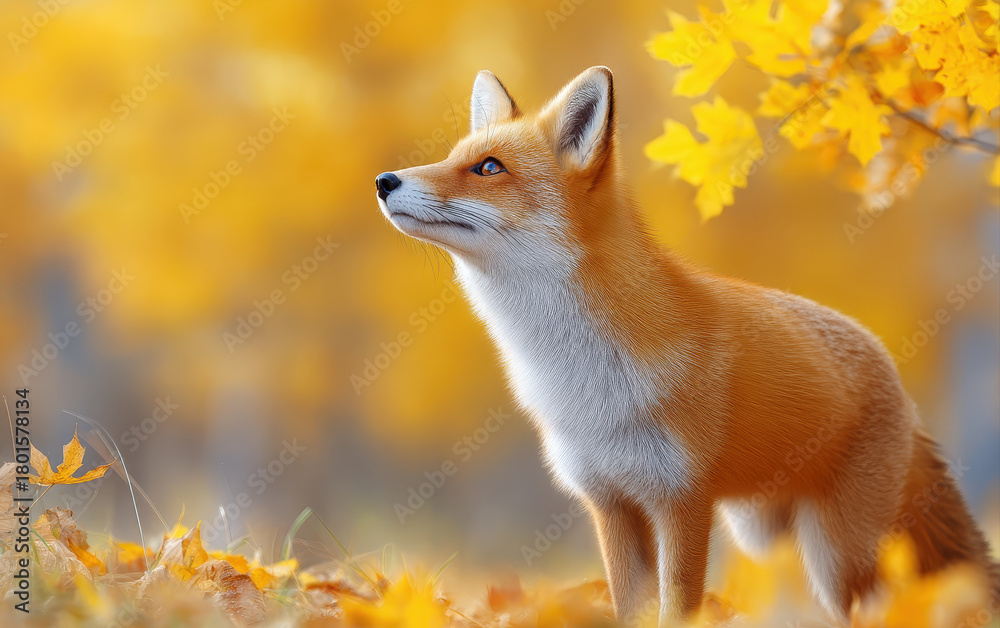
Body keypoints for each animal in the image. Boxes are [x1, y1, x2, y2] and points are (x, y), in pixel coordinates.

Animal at [375, 66, 1000, 625]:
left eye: (488, 168)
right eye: (453, 155)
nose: (385, 180)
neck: (581, 381)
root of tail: (888, 366)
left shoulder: (682, 500)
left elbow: (677, 608)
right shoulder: (610, 500)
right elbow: (632, 609)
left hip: (839, 556)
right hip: (766, 536)